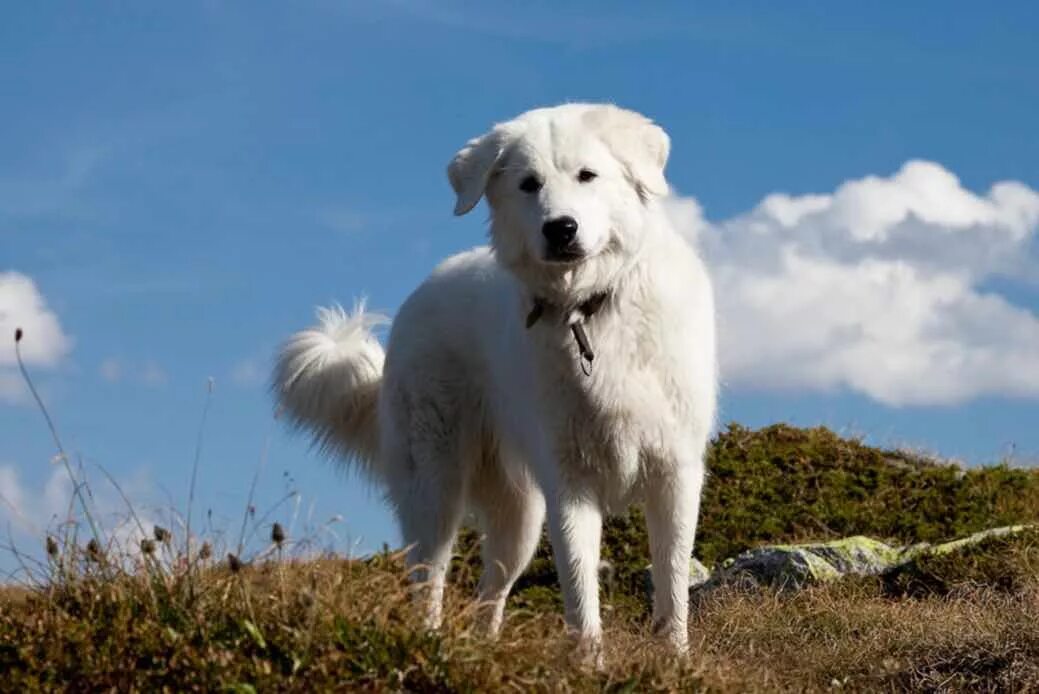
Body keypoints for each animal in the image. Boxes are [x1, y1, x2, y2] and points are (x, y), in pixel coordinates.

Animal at [272, 101, 718, 652]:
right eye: (529, 184)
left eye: (587, 175)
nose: (560, 228)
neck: (591, 311)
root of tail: (421, 292)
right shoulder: (568, 484)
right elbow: (580, 593)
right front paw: (589, 662)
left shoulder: (675, 475)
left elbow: (672, 583)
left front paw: (674, 657)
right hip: (436, 490)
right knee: (429, 578)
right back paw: (431, 646)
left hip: (517, 517)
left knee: (491, 589)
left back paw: (483, 648)